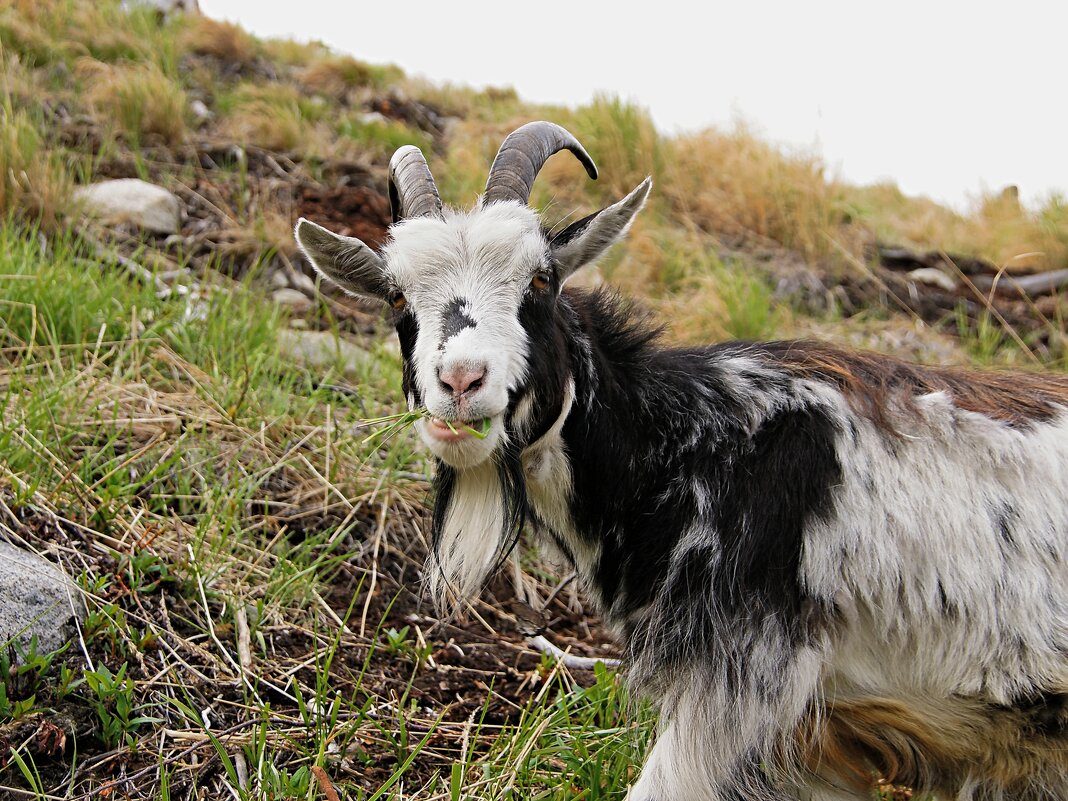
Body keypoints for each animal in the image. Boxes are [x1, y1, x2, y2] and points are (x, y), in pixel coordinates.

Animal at [294, 122, 1068, 798]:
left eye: (541, 280)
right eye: (397, 295)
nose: (460, 381)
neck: (696, 442)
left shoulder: (744, 685)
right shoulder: (823, 738)